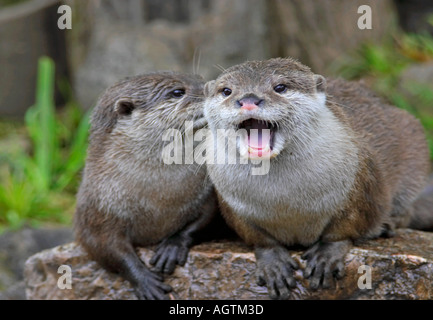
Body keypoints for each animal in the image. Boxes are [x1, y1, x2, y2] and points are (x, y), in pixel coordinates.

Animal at [75, 71, 216, 298]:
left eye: (201, 78)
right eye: (177, 92)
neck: (159, 198)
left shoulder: (206, 195)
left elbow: (203, 219)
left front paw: (172, 246)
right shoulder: (96, 210)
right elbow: (104, 248)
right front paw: (144, 280)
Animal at [202, 57, 428, 300]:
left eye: (280, 87)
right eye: (226, 90)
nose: (248, 100)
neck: (285, 203)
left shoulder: (359, 185)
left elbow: (345, 228)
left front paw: (326, 256)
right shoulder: (232, 204)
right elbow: (257, 237)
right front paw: (273, 264)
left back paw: (388, 224)